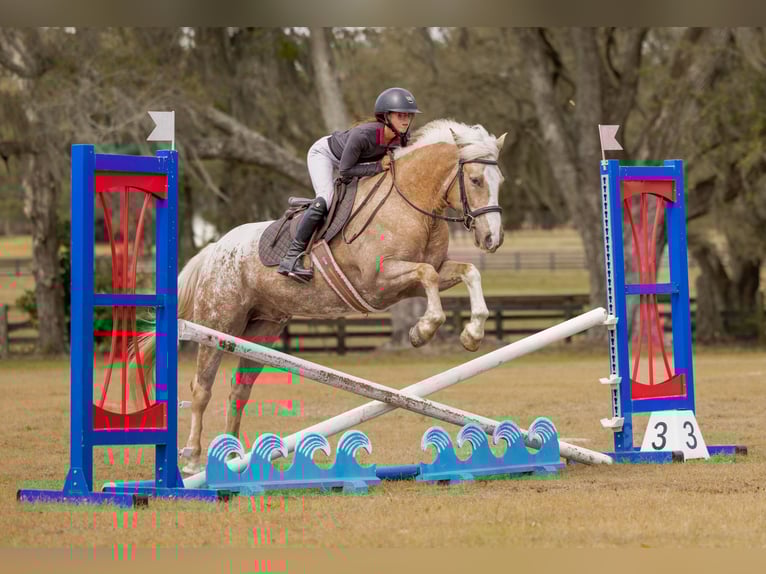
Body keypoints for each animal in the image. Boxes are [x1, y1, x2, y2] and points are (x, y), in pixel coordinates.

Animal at [144, 119, 507, 474]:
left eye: (499, 180)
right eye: (475, 179)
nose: (493, 239)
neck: (411, 203)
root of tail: (215, 248)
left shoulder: (422, 275)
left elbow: (466, 272)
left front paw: (472, 334)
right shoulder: (380, 280)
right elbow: (427, 275)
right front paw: (423, 330)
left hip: (262, 330)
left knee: (239, 390)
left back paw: (233, 458)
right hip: (218, 323)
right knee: (202, 387)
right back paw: (192, 457)